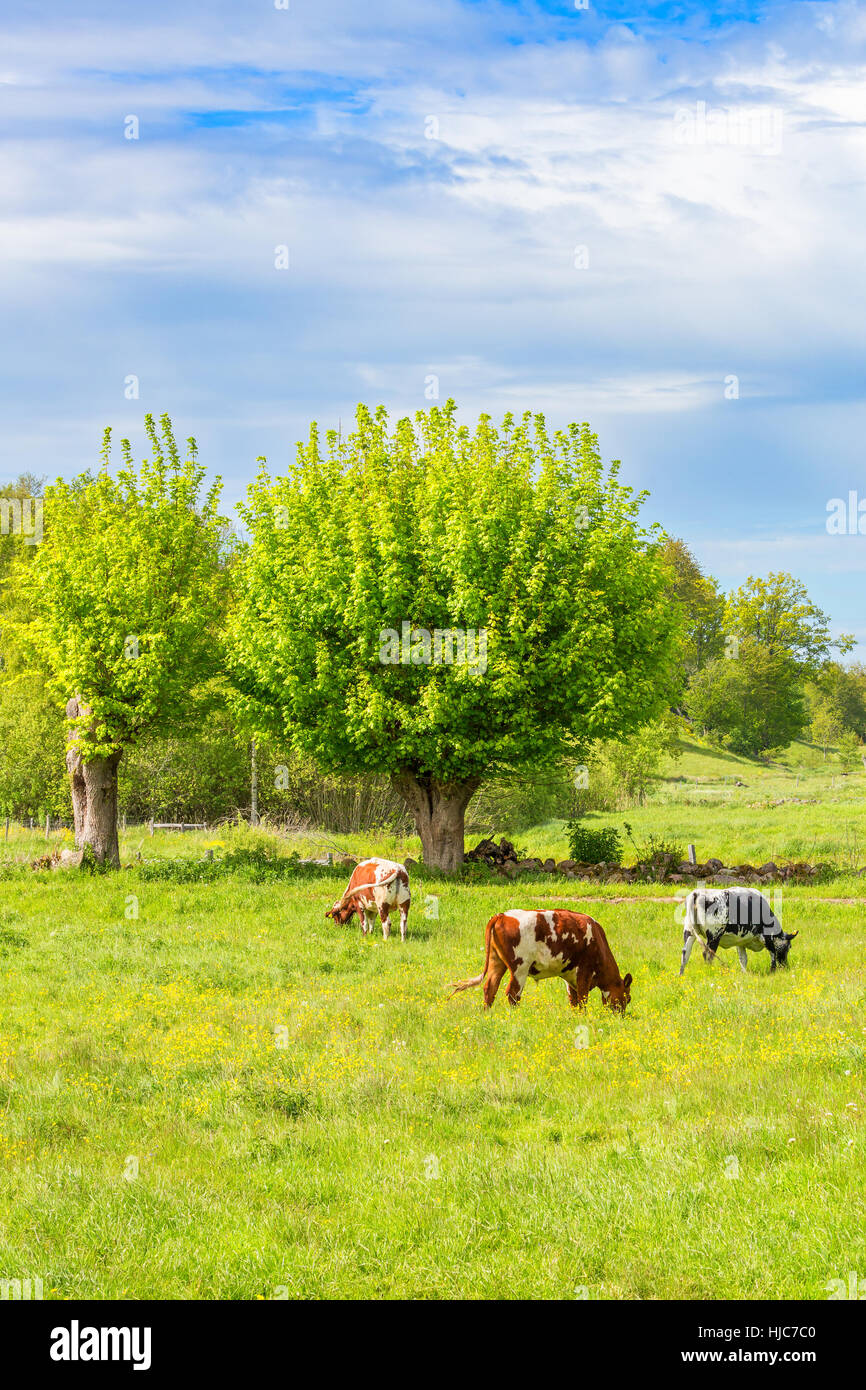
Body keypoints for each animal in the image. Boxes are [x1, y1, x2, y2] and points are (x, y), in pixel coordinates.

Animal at [449, 909, 633, 1013]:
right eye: (628, 998)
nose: (620, 1016)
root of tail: (502, 916)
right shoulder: (584, 972)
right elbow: (582, 999)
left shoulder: (570, 974)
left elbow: (573, 1000)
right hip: (520, 967)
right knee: (513, 993)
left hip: (497, 961)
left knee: (490, 988)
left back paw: (487, 1014)